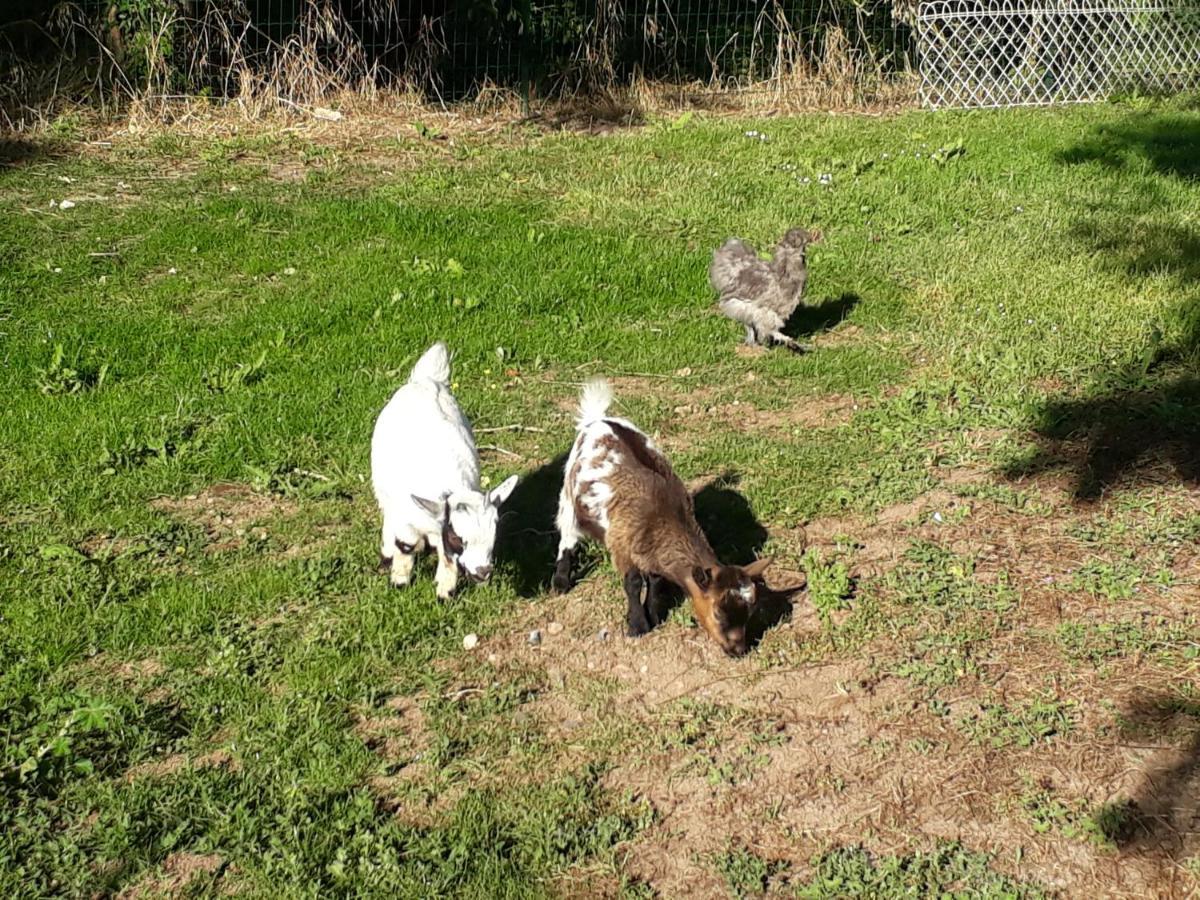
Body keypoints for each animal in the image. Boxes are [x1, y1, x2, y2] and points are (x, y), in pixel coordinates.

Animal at [369, 340, 520, 602]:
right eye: (458, 538)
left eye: (494, 536)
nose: (483, 572)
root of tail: (426, 380)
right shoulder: (407, 520)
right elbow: (405, 546)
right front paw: (399, 581)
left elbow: (448, 560)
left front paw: (444, 594)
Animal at [549, 376, 772, 657]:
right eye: (719, 613)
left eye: (749, 612)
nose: (739, 649)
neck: (662, 515)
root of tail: (599, 419)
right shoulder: (621, 543)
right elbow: (633, 583)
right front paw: (637, 625)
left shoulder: (650, 550)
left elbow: (655, 580)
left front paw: (654, 614)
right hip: (568, 492)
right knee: (567, 532)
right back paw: (561, 580)